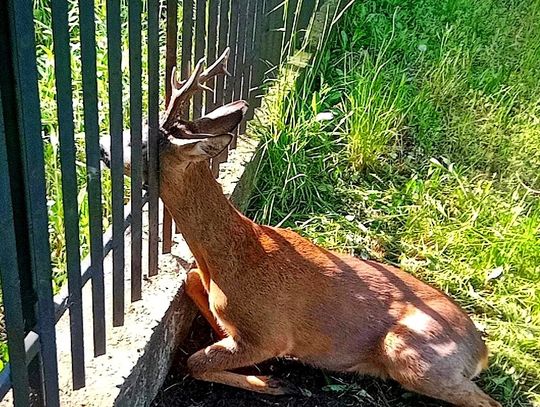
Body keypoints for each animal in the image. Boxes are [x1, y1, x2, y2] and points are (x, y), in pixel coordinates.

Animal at [99, 48, 500, 407]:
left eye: (142, 142)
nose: (101, 145)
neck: (234, 256)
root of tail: (481, 351)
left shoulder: (269, 333)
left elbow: (194, 361)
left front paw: (275, 382)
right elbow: (191, 278)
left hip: (414, 355)